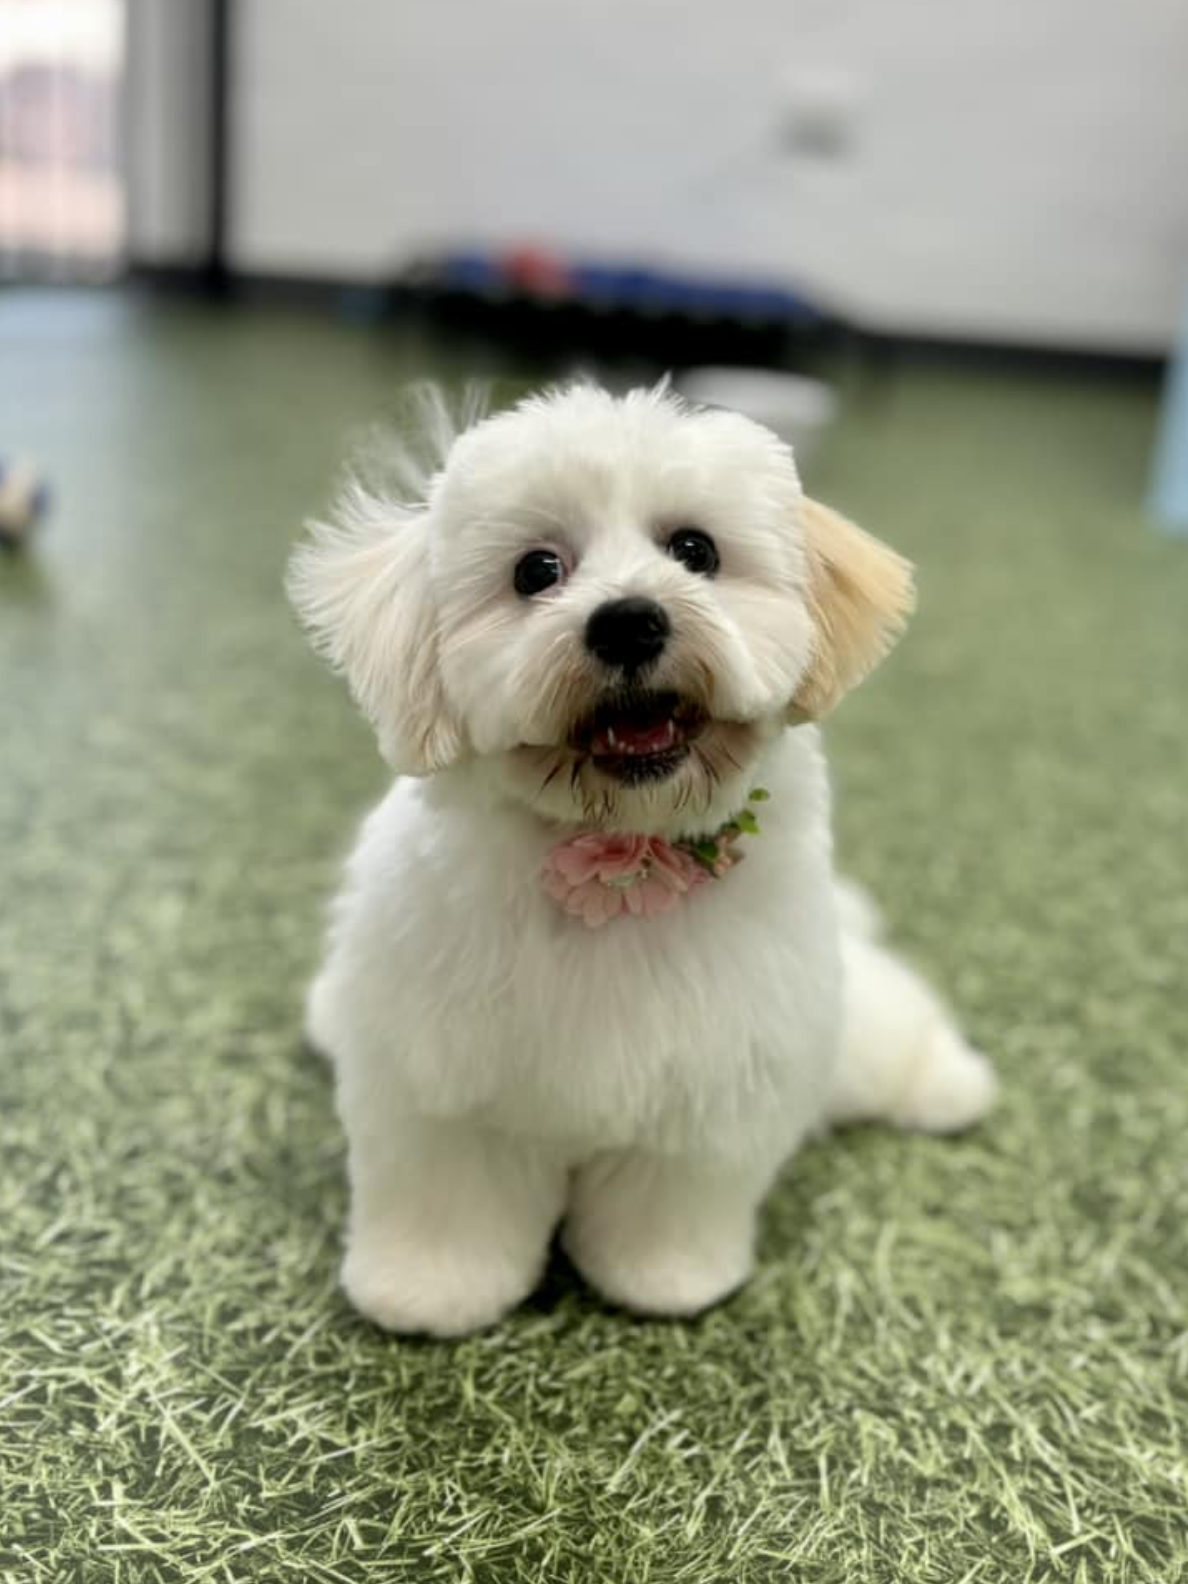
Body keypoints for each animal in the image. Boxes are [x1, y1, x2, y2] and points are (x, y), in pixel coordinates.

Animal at [293, 383, 1001, 1336]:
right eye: (536, 571)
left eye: (695, 551)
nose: (629, 620)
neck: (616, 863)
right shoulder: (443, 1088)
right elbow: (448, 1199)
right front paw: (428, 1291)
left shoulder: (712, 1089)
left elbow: (669, 1205)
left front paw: (669, 1281)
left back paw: (950, 1083)